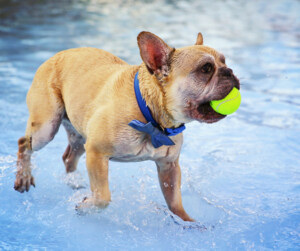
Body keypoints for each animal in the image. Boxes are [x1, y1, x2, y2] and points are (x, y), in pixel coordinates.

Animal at [14, 31, 240, 222]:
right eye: (206, 69)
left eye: (224, 61)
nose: (230, 71)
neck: (151, 116)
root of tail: (55, 56)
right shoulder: (97, 153)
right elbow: (103, 197)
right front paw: (87, 207)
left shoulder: (169, 167)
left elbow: (175, 201)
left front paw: (187, 222)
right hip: (46, 127)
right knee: (25, 143)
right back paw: (23, 177)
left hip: (80, 136)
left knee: (69, 156)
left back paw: (74, 182)